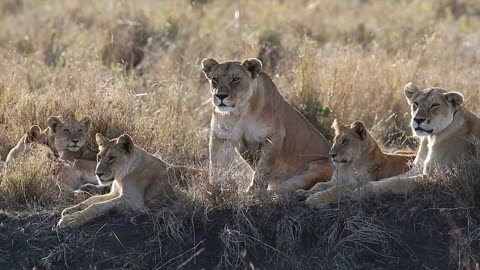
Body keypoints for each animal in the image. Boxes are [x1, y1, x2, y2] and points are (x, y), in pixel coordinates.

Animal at [56, 133, 206, 228]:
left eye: (112, 158)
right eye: (99, 157)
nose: (98, 174)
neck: (120, 178)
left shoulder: (134, 201)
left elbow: (97, 206)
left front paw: (71, 219)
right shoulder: (115, 193)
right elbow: (92, 200)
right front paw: (71, 210)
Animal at [201, 57, 332, 192]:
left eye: (235, 79)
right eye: (215, 79)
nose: (220, 96)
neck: (241, 111)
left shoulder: (273, 136)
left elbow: (263, 168)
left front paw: (254, 192)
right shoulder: (221, 136)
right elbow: (217, 166)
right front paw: (216, 188)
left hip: (320, 168)